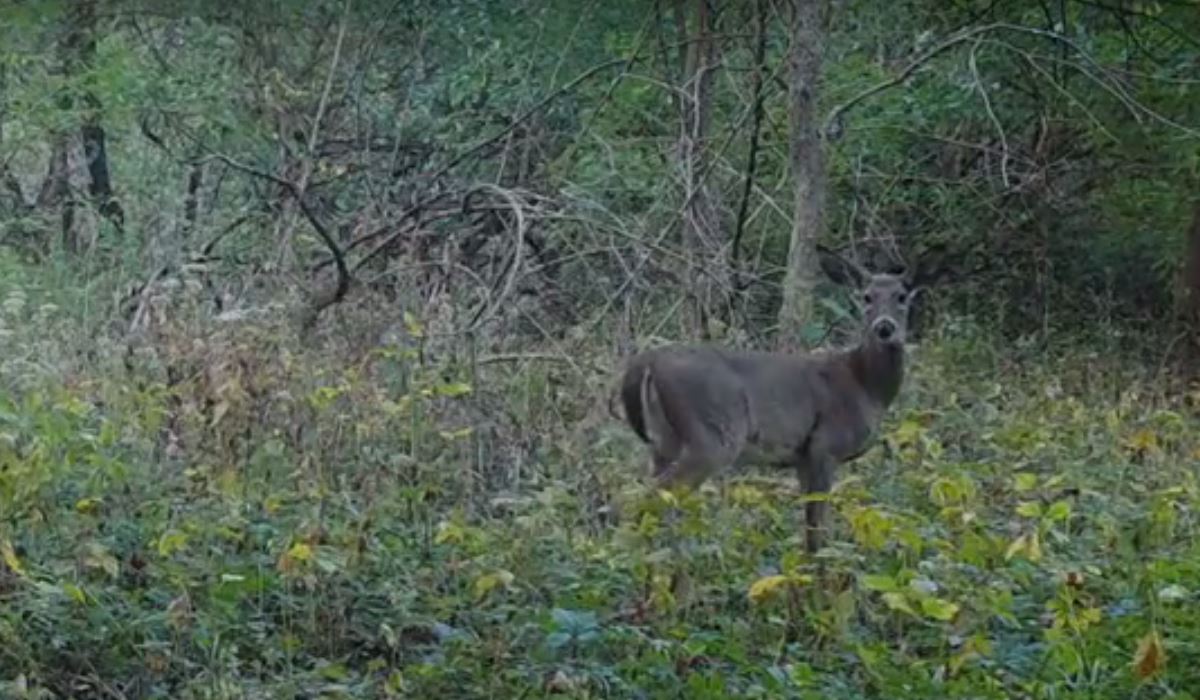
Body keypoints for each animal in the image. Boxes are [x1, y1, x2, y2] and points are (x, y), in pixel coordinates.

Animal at [619, 250, 916, 552]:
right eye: (867, 296)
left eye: (902, 296)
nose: (884, 328)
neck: (865, 386)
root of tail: (647, 362)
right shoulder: (824, 446)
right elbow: (815, 530)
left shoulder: (803, 459)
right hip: (711, 436)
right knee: (648, 497)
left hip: (663, 442)